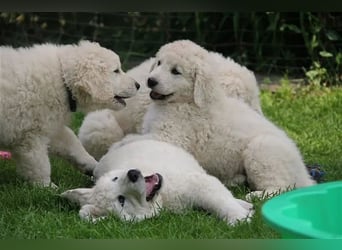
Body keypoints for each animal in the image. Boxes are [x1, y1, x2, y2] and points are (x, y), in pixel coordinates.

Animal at [0, 40, 140, 186]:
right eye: (116, 71)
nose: (138, 85)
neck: (63, 81)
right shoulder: (31, 135)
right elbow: (39, 164)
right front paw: (47, 186)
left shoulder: (51, 127)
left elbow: (72, 143)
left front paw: (94, 166)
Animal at [61, 140, 254, 226]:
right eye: (121, 200)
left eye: (115, 179)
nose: (133, 174)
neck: (163, 198)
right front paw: (241, 218)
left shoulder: (199, 183)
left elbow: (220, 201)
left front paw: (239, 217)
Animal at [115, 39, 316, 199]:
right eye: (159, 63)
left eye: (175, 71)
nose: (151, 81)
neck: (184, 101)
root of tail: (303, 174)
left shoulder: (171, 137)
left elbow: (133, 140)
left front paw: (120, 144)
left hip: (263, 150)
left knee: (282, 187)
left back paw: (257, 195)